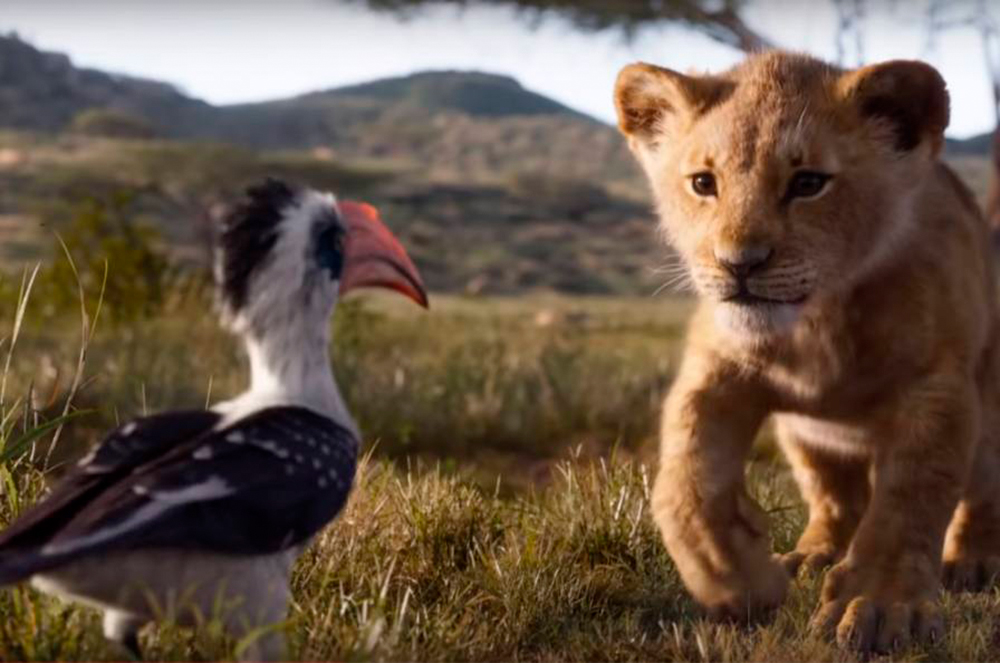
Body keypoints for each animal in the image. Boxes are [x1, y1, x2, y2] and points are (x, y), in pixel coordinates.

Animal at [614, 51, 1000, 653]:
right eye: (703, 183)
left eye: (808, 183)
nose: (740, 264)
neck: (817, 323)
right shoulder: (716, 366)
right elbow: (684, 482)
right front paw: (738, 579)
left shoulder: (937, 386)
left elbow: (909, 502)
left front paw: (882, 607)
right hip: (804, 436)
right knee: (835, 498)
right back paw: (812, 556)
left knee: (981, 492)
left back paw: (973, 562)